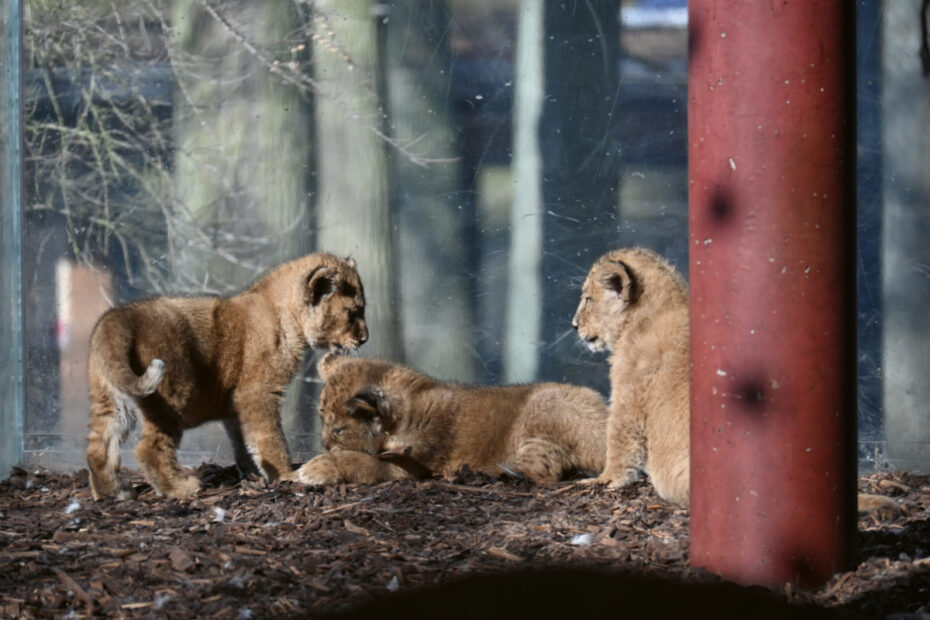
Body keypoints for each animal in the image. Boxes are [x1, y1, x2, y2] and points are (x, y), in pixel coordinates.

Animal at [86, 253, 368, 500]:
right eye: (352, 313)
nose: (365, 339)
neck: (286, 317)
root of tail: (117, 318)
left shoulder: (235, 405)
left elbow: (244, 443)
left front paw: (255, 475)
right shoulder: (257, 394)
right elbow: (270, 438)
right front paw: (287, 474)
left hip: (111, 400)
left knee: (98, 448)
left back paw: (112, 494)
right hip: (173, 391)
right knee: (149, 449)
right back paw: (179, 489)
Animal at [296, 356, 608, 486]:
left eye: (338, 429)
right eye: (321, 420)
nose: (323, 444)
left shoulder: (412, 465)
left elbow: (361, 461)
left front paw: (315, 468)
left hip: (542, 407)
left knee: (544, 472)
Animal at [573, 247, 903, 518]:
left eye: (587, 299)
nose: (574, 325)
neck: (650, 312)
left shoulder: (629, 395)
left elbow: (619, 445)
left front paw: (602, 480)